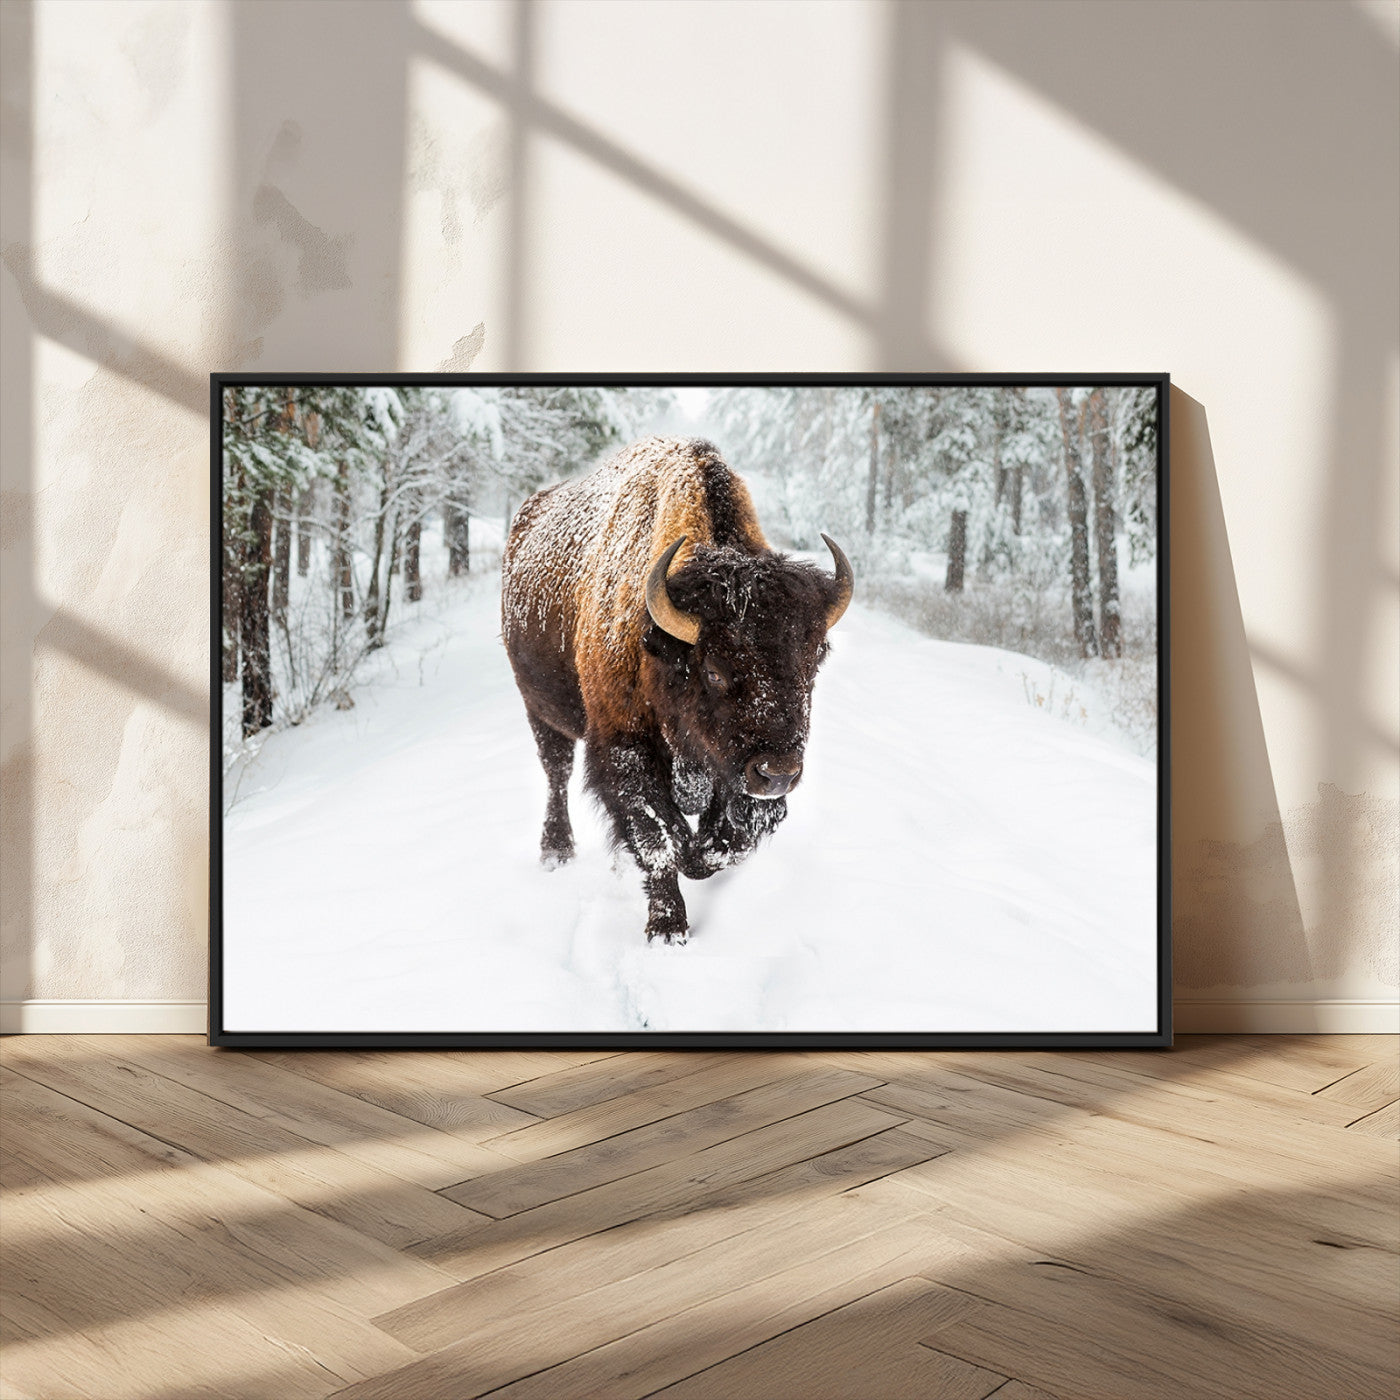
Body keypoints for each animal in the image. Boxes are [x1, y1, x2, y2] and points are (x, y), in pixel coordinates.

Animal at [501, 436, 852, 944]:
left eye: (813, 662)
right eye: (714, 671)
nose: (778, 773)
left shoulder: (730, 771)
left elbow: (726, 841)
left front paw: (698, 857)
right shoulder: (625, 748)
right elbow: (658, 838)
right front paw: (667, 929)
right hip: (540, 709)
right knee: (556, 771)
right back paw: (556, 851)